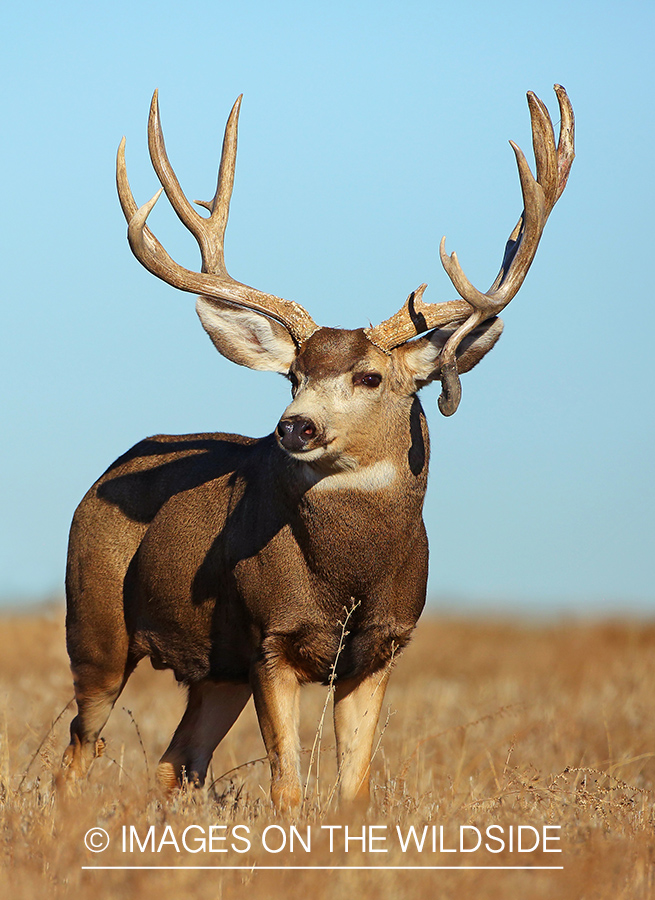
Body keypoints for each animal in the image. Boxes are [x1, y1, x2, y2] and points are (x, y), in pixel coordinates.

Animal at [61, 86, 574, 810]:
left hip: (214, 668)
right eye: (293, 375)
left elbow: (353, 788)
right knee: (80, 746)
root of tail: (105, 474)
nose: (293, 427)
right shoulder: (269, 637)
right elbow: (289, 787)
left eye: (370, 377)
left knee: (176, 759)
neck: (347, 575)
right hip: (97, 622)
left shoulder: (380, 646)